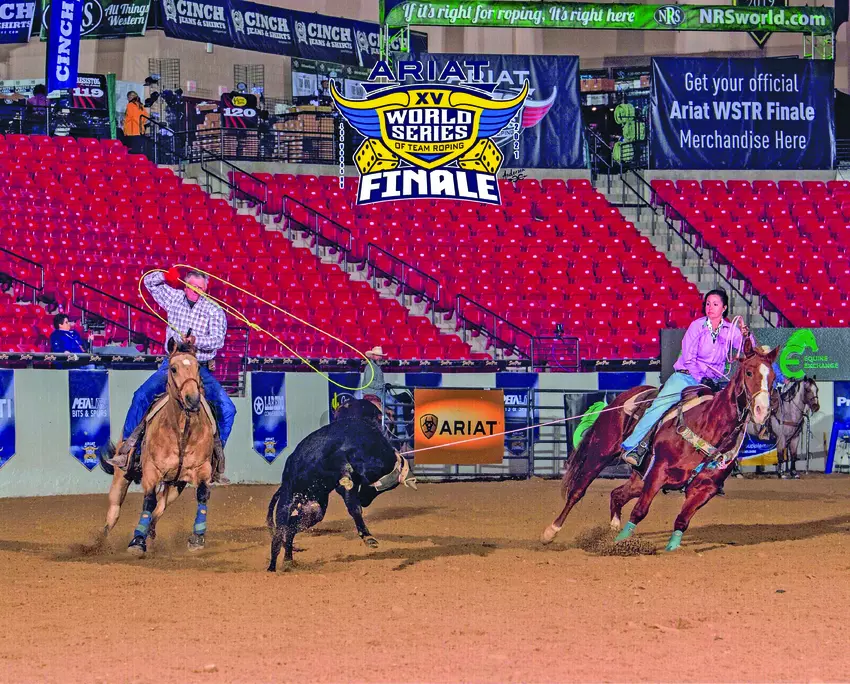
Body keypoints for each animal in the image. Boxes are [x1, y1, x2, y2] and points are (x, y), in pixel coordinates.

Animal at [99, 342, 216, 555]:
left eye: (198, 367)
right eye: (173, 368)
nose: (193, 399)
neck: (181, 430)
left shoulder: (202, 468)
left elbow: (202, 494)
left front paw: (197, 537)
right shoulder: (151, 471)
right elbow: (149, 500)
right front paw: (137, 541)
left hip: (176, 485)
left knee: (160, 508)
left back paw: (151, 531)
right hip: (122, 475)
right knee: (114, 510)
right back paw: (102, 543)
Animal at [266, 417, 417, 572]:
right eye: (373, 488)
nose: (364, 501)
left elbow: (354, 508)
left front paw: (368, 537)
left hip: (313, 511)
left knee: (291, 529)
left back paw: (288, 561)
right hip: (286, 503)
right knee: (279, 536)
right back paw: (272, 568)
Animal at [542, 339, 779, 552]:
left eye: (773, 377)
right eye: (749, 372)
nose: (762, 410)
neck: (708, 426)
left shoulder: (706, 489)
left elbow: (682, 520)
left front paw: (671, 548)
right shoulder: (659, 471)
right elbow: (640, 511)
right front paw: (621, 542)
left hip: (640, 477)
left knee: (617, 495)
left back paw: (611, 528)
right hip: (602, 452)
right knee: (578, 490)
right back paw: (551, 532)